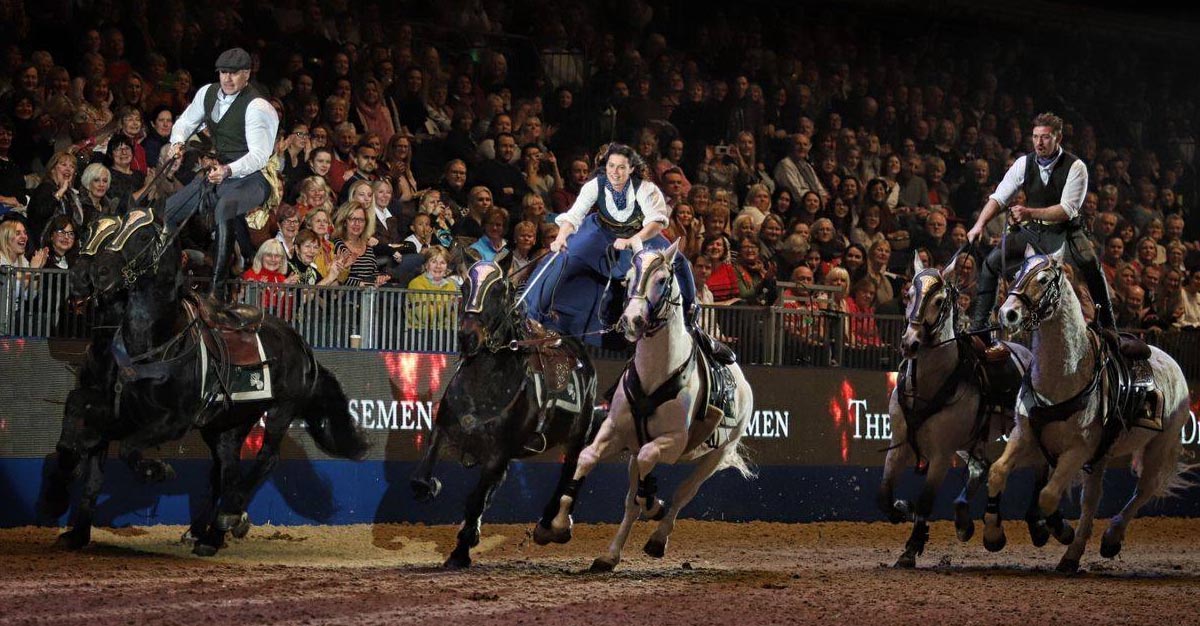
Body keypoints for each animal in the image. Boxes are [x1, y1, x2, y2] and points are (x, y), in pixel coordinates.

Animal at [57, 207, 364, 554]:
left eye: (143, 235)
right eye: (86, 233)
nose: (94, 275)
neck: (155, 339)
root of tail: (300, 344)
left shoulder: (174, 420)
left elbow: (127, 449)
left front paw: (155, 470)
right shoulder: (115, 408)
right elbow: (84, 436)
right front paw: (75, 527)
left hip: (280, 410)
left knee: (266, 458)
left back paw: (228, 516)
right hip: (229, 421)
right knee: (226, 468)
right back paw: (209, 534)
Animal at [410, 257, 600, 566]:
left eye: (498, 290)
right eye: (464, 286)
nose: (467, 337)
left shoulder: (497, 454)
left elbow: (476, 499)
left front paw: (460, 552)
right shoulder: (443, 431)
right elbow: (421, 479)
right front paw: (434, 490)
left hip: (577, 436)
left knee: (570, 473)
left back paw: (551, 526)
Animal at [544, 239, 748, 570]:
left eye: (663, 280)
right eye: (626, 279)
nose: (632, 320)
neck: (657, 372)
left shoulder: (674, 441)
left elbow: (650, 462)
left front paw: (655, 504)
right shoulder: (616, 431)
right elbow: (587, 457)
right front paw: (560, 524)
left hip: (716, 454)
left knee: (682, 493)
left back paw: (657, 537)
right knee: (632, 501)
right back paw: (610, 554)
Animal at [883, 253, 1070, 566]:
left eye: (938, 301)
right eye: (909, 294)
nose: (910, 342)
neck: (929, 385)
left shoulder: (941, 454)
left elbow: (926, 501)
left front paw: (911, 548)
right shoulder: (899, 446)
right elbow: (884, 495)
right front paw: (902, 507)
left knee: (1040, 466)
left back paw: (1041, 524)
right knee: (980, 467)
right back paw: (963, 521)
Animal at [984, 243, 1190, 570]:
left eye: (1043, 279)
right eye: (1015, 275)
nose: (1008, 313)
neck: (1064, 375)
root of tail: (1171, 361)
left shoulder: (1078, 449)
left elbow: (1048, 495)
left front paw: (1057, 529)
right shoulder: (1025, 435)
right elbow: (998, 472)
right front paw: (993, 534)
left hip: (1160, 447)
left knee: (1143, 491)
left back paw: (1109, 538)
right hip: (1103, 454)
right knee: (1093, 500)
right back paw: (1073, 555)